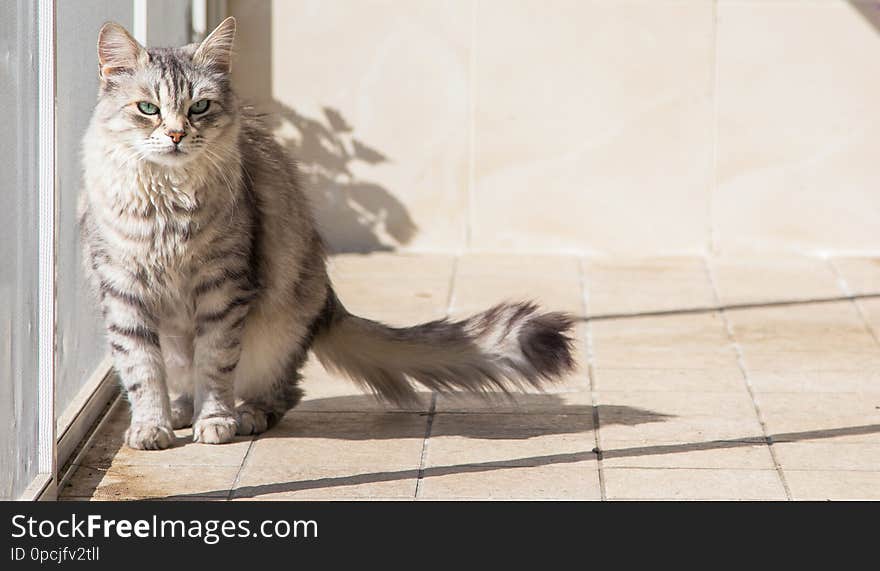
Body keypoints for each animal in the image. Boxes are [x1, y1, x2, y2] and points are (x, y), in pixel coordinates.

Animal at [79, 17, 576, 452]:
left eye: (199, 107)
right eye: (147, 109)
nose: (177, 135)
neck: (166, 206)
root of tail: (328, 300)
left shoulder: (223, 288)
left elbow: (215, 366)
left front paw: (215, 421)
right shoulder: (123, 291)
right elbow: (142, 372)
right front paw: (152, 428)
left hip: (278, 328)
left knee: (282, 391)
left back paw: (245, 415)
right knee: (185, 380)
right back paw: (181, 410)